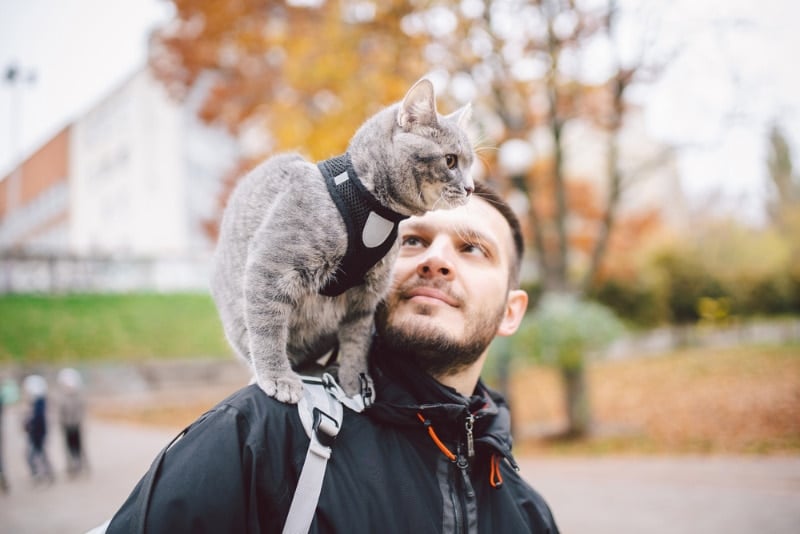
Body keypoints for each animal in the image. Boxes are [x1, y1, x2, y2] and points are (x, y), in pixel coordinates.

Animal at [211, 79, 476, 404]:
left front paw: (355, 383)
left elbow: (355, 344)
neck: (371, 205)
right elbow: (267, 328)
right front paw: (277, 377)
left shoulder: (365, 298)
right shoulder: (272, 267)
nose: (470, 188)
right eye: (450, 160)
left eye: (470, 164)